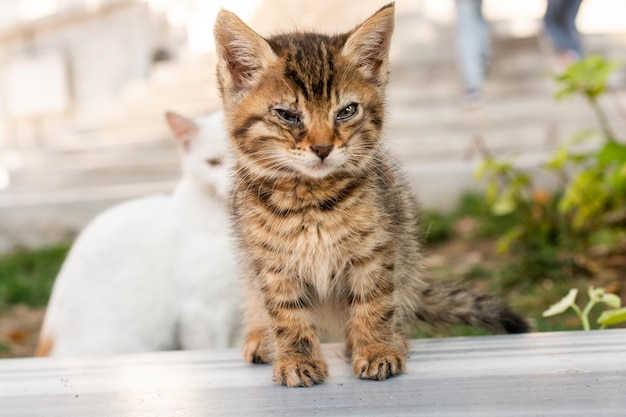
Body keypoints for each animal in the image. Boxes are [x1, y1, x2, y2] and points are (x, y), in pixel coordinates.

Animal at [214, 3, 528, 386]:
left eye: (346, 111)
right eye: (287, 115)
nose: (322, 148)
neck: (311, 202)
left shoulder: (376, 250)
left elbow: (374, 302)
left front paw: (377, 349)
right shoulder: (272, 264)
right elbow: (286, 313)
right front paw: (296, 359)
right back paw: (260, 339)